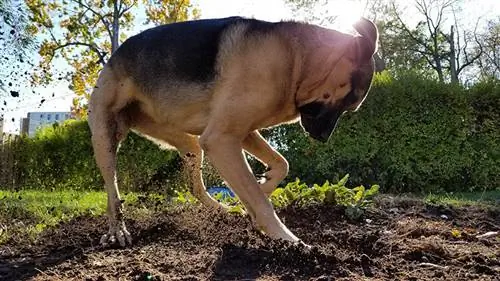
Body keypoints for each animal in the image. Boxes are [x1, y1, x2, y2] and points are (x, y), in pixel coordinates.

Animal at [89, 15, 378, 245]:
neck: (297, 61)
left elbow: (280, 165)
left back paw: (223, 210)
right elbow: (262, 203)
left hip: (190, 145)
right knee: (113, 193)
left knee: (195, 189)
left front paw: (262, 187)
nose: (322, 138)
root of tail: (115, 55)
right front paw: (288, 240)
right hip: (105, 138)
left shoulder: (243, 133)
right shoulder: (221, 140)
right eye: (348, 100)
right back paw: (117, 230)